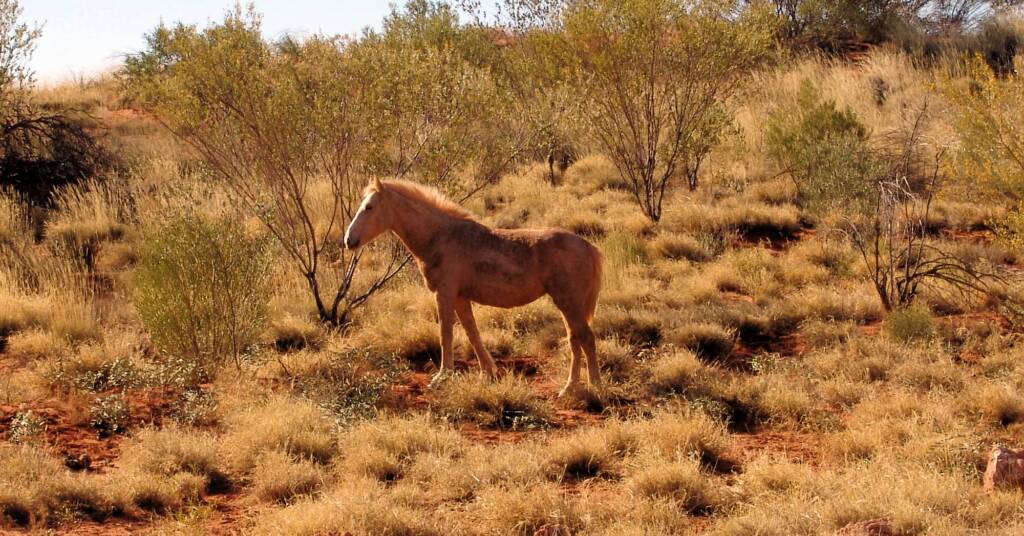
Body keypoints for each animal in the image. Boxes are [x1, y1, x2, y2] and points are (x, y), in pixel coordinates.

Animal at [344, 178, 603, 396]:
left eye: (369, 207)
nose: (349, 240)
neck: (440, 237)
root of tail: (588, 247)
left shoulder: (445, 294)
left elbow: (446, 334)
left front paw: (441, 377)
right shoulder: (460, 298)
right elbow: (472, 332)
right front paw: (488, 371)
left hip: (568, 303)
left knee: (586, 339)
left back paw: (594, 385)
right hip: (568, 306)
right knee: (574, 340)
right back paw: (570, 388)